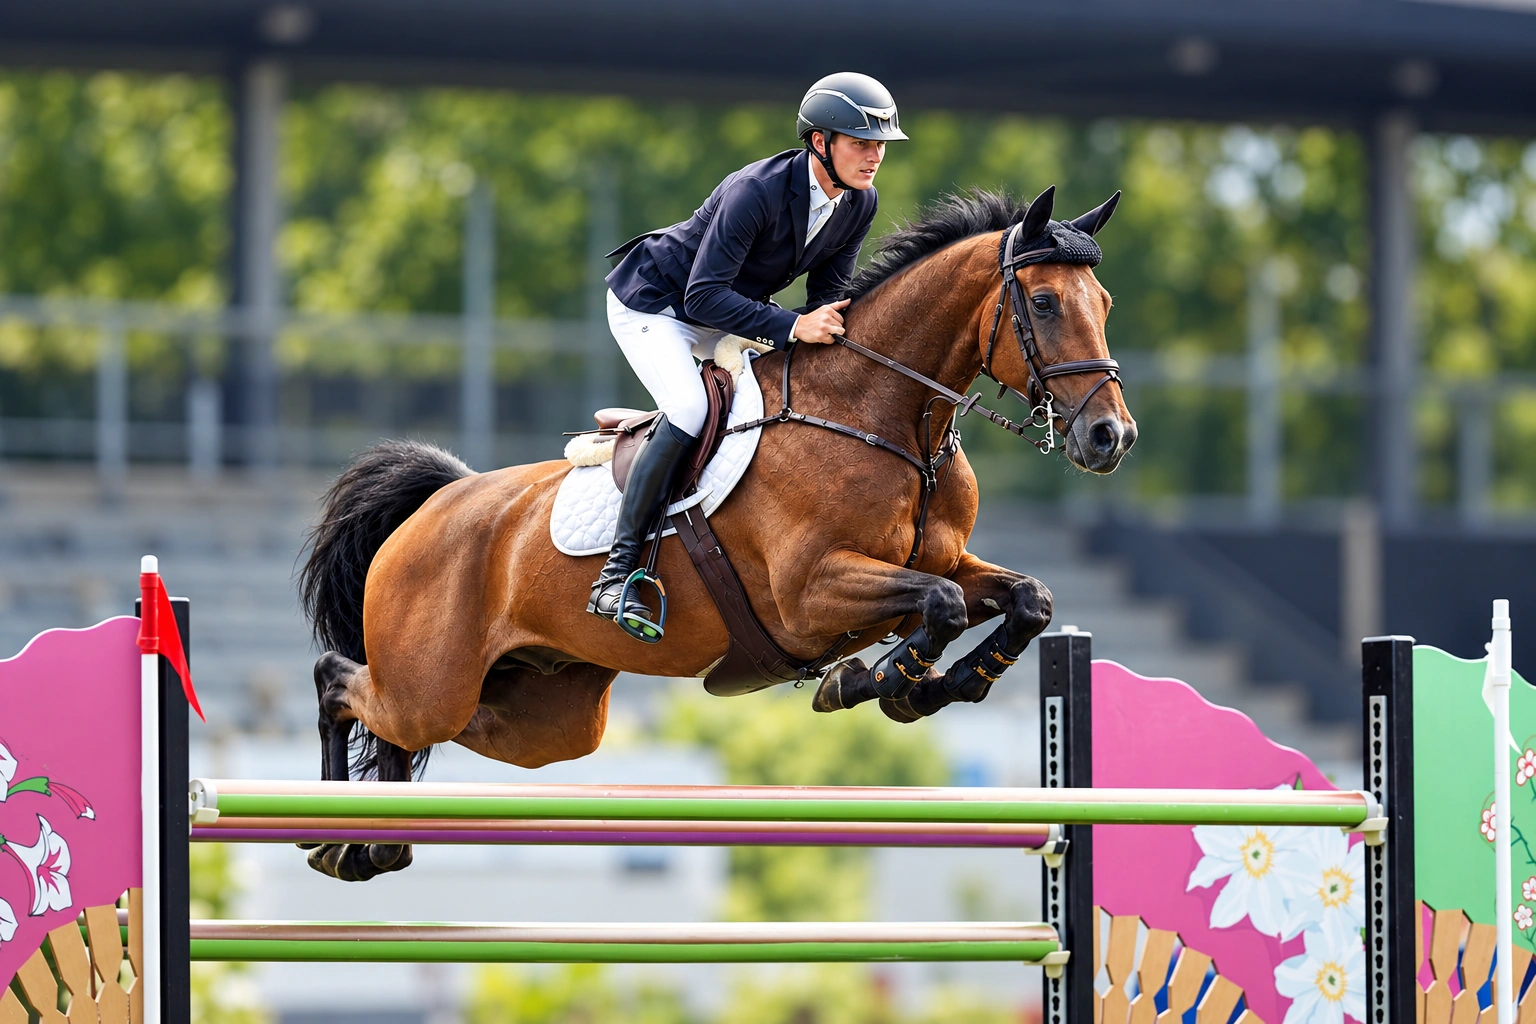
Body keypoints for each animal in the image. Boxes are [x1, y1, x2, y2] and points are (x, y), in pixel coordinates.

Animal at [296, 186, 1136, 881]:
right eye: (1046, 302)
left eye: (1105, 300)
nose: (1111, 438)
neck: (888, 421)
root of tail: (439, 501)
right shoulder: (811, 594)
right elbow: (940, 605)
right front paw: (879, 682)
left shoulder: (943, 560)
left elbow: (1025, 599)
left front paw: (934, 684)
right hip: (431, 685)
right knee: (340, 682)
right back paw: (331, 836)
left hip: (543, 715)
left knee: (416, 725)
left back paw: (372, 842)